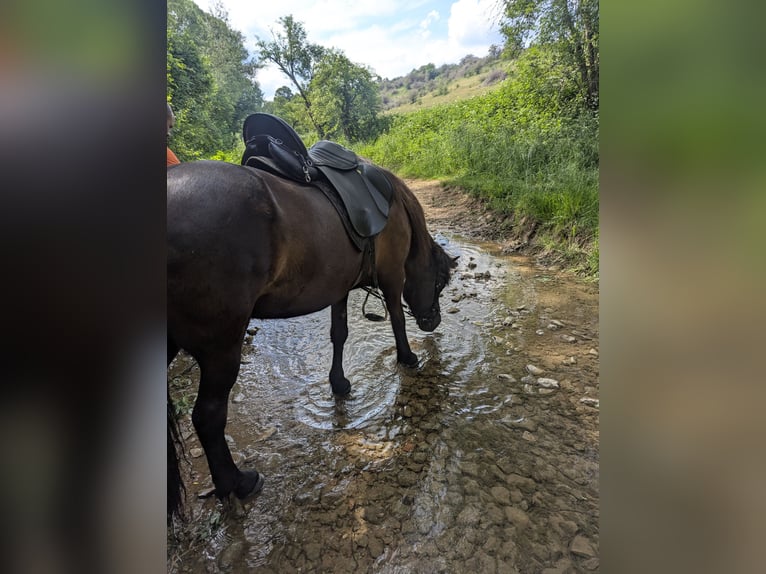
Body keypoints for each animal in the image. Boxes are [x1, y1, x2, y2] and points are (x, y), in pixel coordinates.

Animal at [167, 160, 457, 517]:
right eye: (439, 281)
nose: (433, 321)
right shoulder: (391, 275)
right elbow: (397, 320)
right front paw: (408, 358)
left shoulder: (339, 286)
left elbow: (339, 333)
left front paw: (339, 383)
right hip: (221, 349)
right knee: (207, 418)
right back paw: (237, 483)